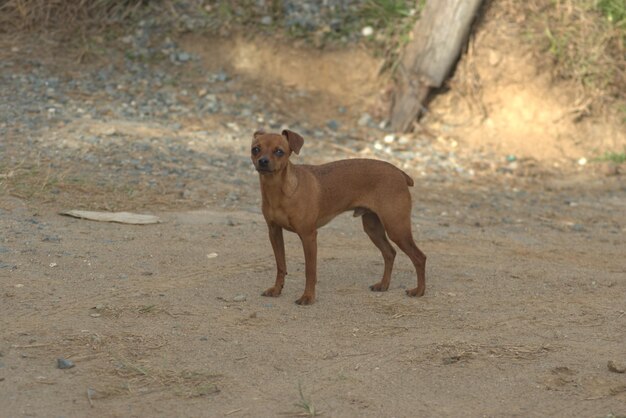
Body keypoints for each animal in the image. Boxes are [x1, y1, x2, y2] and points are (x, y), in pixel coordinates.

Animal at [250, 127, 424, 304]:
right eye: (255, 149)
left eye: (279, 151)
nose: (263, 161)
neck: (279, 190)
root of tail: (400, 172)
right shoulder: (274, 232)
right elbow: (281, 265)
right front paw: (276, 289)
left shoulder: (308, 236)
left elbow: (310, 271)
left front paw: (308, 297)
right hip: (373, 229)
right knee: (389, 253)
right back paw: (383, 285)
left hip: (397, 229)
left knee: (419, 257)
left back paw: (419, 291)